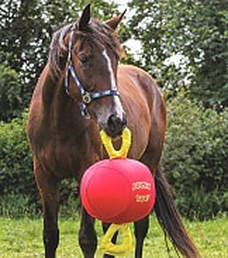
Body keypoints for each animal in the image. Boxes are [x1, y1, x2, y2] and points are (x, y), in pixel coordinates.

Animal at [27, 4, 200, 258]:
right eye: (84, 58)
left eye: (116, 59)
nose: (116, 120)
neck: (58, 123)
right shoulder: (44, 176)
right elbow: (50, 235)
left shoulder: (86, 172)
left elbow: (87, 239)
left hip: (147, 165)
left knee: (140, 227)